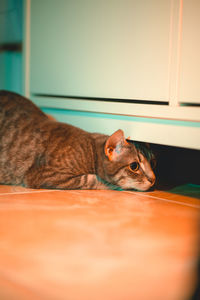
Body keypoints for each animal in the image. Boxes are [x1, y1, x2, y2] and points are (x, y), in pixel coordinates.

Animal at [0, 90, 155, 191]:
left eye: (153, 162)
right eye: (134, 166)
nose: (153, 180)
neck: (90, 151)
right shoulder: (46, 174)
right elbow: (91, 179)